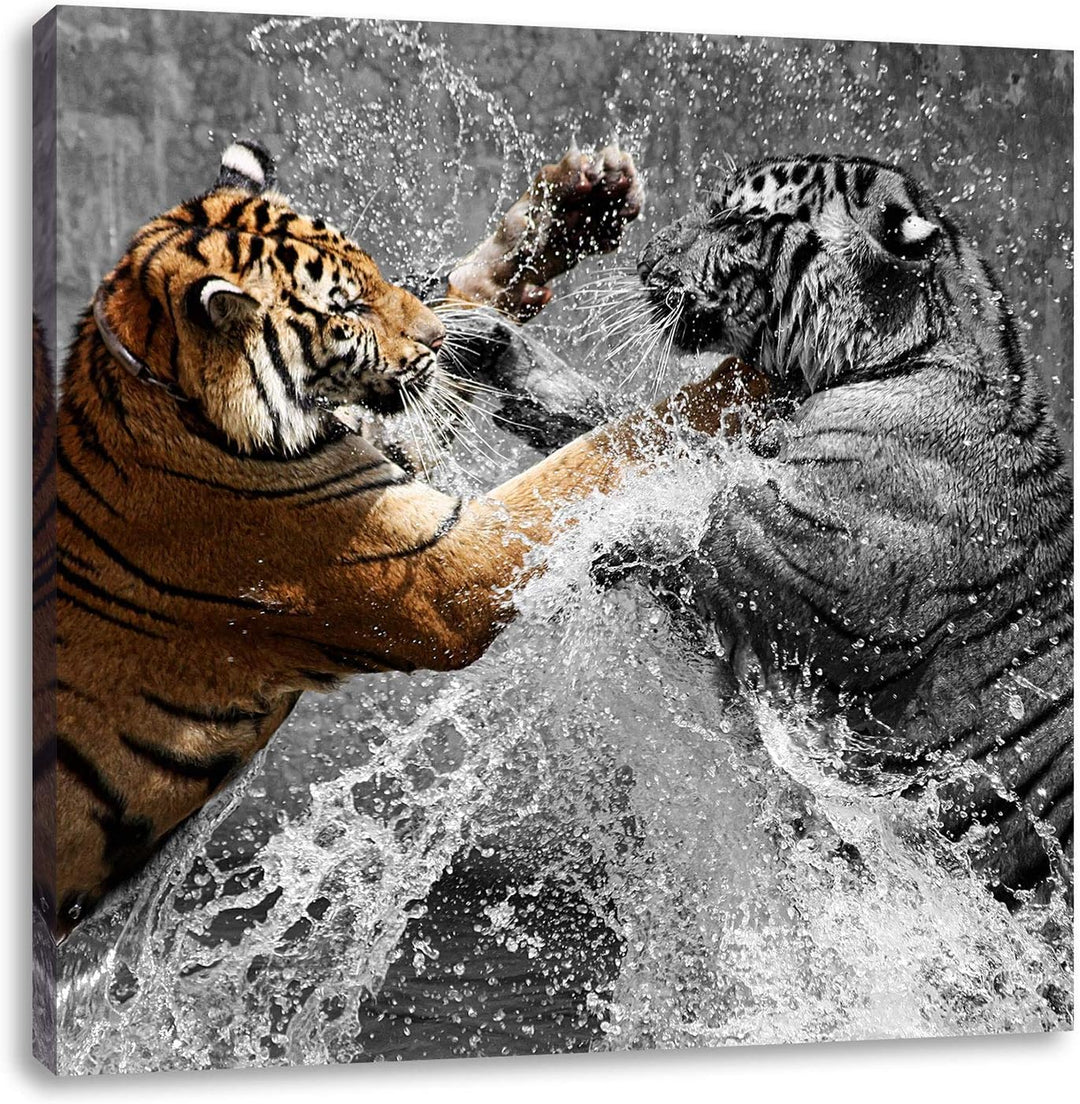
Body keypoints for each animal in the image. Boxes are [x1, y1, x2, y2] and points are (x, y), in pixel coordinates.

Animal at [34, 140, 769, 939]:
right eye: (348, 309)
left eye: (375, 274)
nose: (438, 340)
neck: (177, 397)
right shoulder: (441, 571)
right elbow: (598, 452)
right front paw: (741, 382)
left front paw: (575, 205)